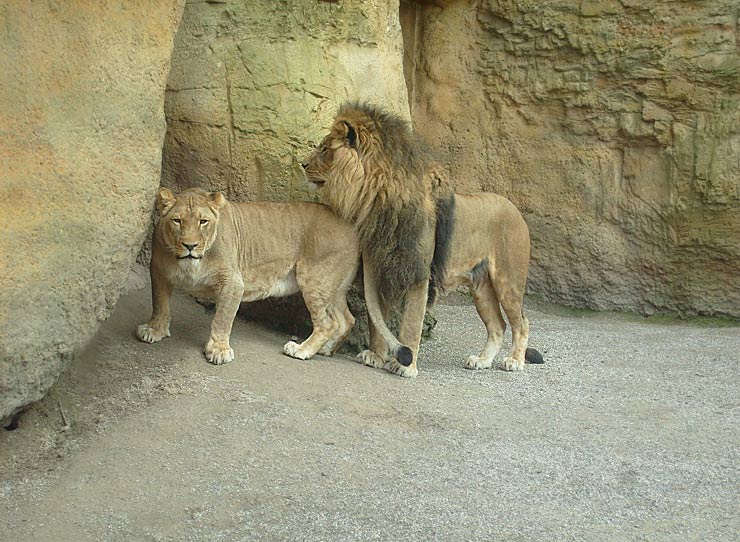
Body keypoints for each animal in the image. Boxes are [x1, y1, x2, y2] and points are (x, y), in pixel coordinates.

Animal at [139, 188, 362, 366]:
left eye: (203, 222)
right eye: (177, 221)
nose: (190, 246)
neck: (191, 264)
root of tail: (350, 225)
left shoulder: (233, 283)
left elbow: (222, 318)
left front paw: (219, 350)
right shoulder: (158, 270)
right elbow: (160, 304)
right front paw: (154, 330)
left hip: (315, 280)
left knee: (327, 324)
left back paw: (302, 350)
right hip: (332, 288)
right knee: (346, 319)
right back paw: (325, 349)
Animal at [302, 104, 544, 380]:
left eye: (325, 149)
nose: (303, 164)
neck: (380, 198)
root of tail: (515, 210)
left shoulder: (419, 273)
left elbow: (411, 323)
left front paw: (405, 365)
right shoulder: (381, 266)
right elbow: (377, 319)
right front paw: (375, 356)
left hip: (508, 280)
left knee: (521, 322)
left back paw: (514, 361)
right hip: (481, 286)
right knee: (498, 325)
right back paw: (481, 360)